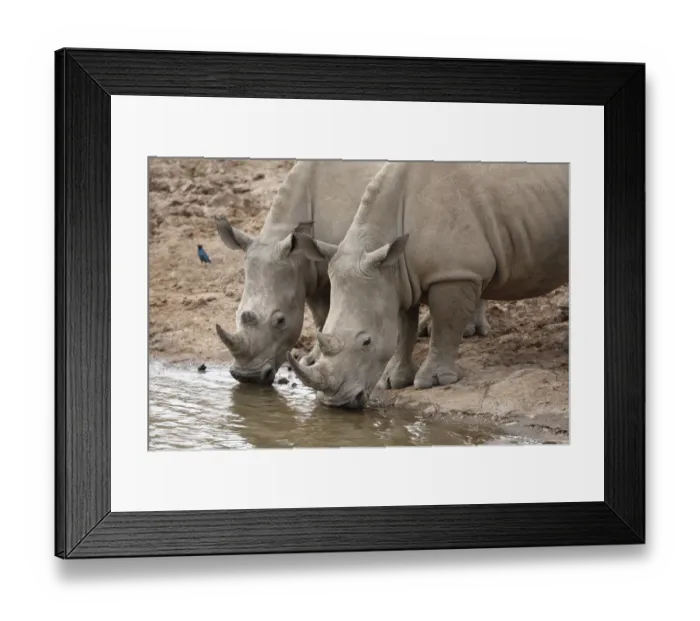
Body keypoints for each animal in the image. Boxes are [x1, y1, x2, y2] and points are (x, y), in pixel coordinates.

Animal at [287, 161, 569, 409]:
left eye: (366, 342)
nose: (335, 403)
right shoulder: (396, 277)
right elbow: (403, 329)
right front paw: (393, 381)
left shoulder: (454, 272)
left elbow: (446, 325)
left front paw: (432, 382)